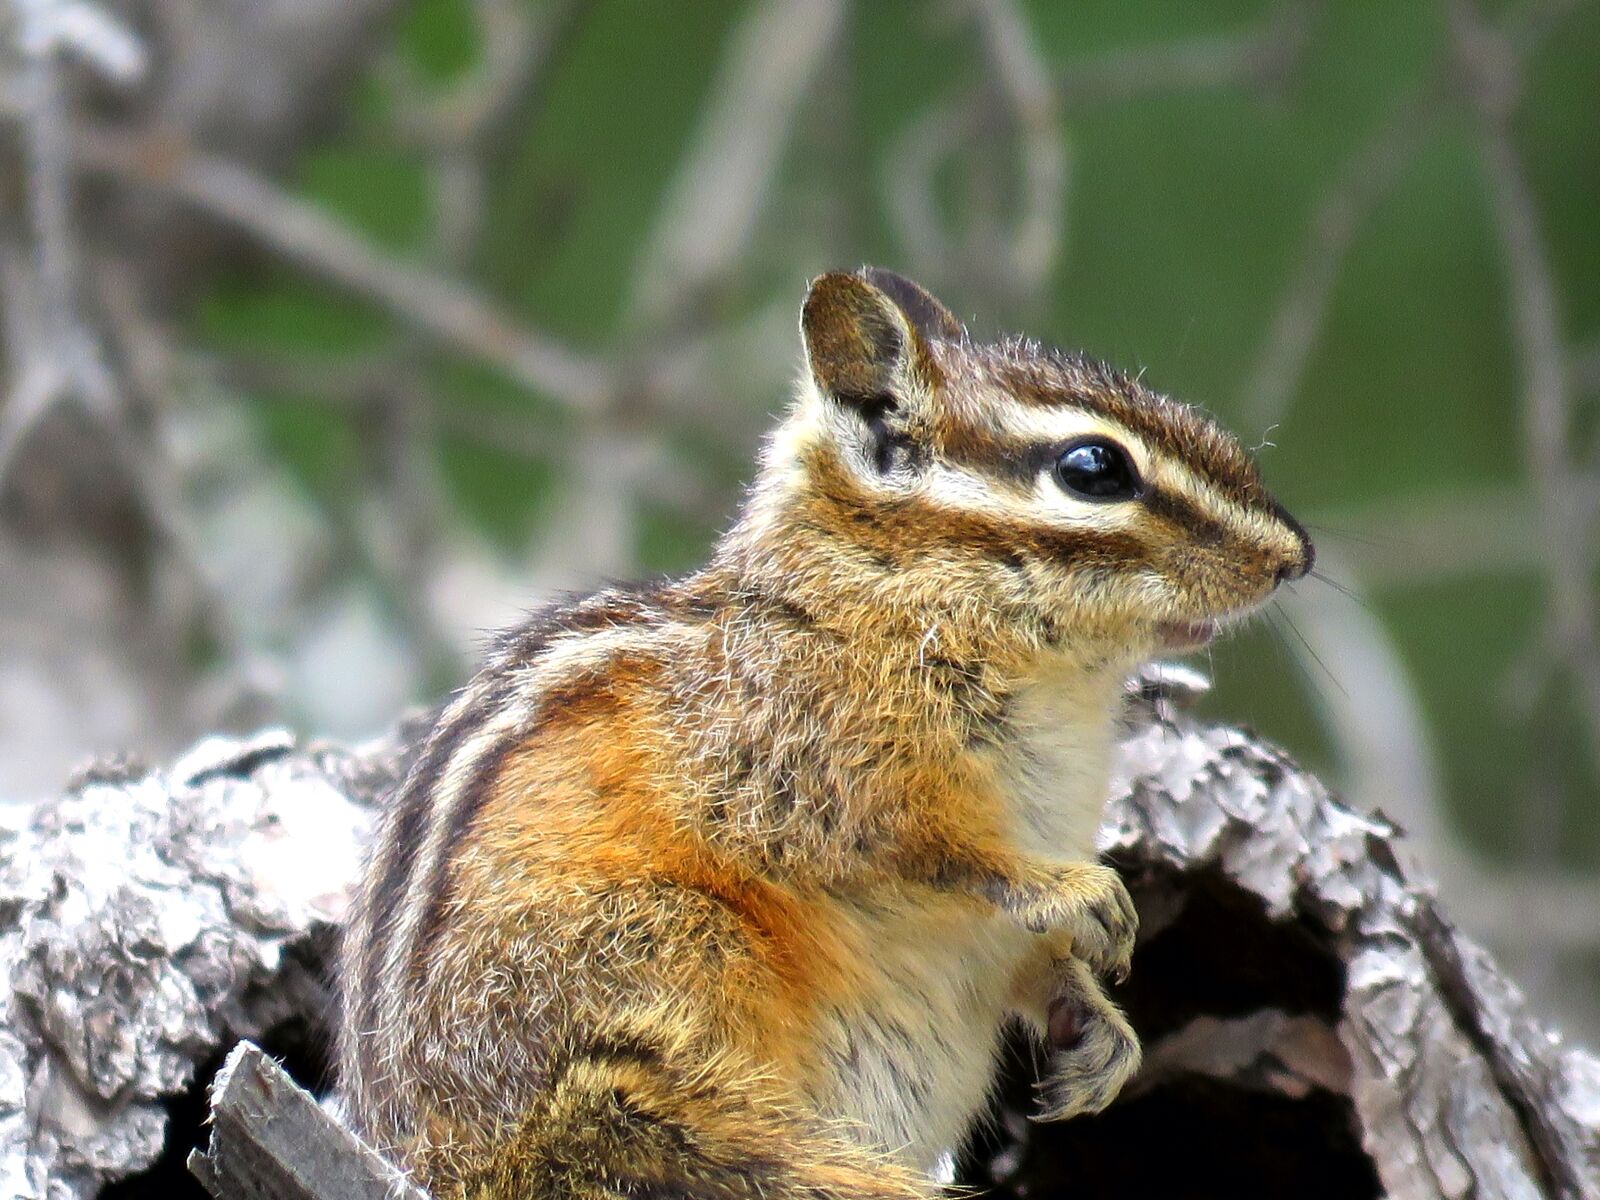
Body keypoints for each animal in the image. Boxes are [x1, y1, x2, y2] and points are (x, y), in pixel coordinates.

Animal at [338, 267, 1313, 1199]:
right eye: (1093, 468)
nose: (1294, 556)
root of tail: (477, 1154)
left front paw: (1098, 1028)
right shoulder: (797, 756)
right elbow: (915, 844)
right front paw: (1074, 893)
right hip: (667, 943)